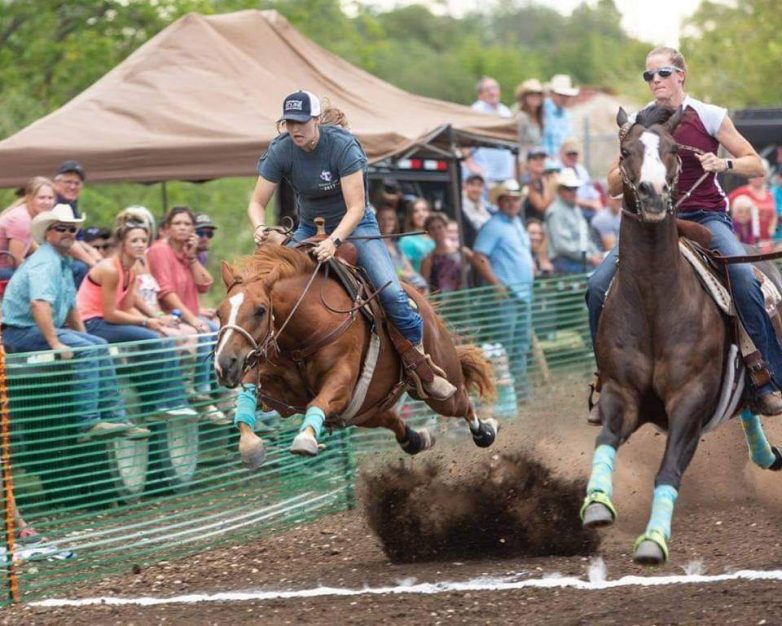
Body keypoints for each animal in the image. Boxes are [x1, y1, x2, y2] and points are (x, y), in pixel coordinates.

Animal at [214, 241, 496, 466]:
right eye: (219, 312)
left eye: (260, 310)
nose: (224, 364)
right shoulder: (275, 388)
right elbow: (246, 400)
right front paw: (250, 446)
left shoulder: (342, 381)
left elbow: (319, 401)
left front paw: (305, 439)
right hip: (366, 410)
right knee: (392, 420)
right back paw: (417, 440)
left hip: (442, 389)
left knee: (463, 404)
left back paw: (486, 431)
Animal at [580, 105, 782, 564]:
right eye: (625, 151)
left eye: (673, 149)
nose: (654, 194)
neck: (656, 300)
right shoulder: (621, 393)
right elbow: (604, 438)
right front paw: (597, 503)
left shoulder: (689, 400)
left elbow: (669, 468)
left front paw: (653, 541)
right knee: (747, 409)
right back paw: (765, 455)